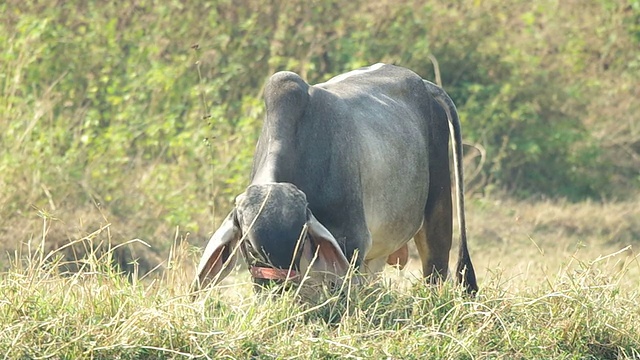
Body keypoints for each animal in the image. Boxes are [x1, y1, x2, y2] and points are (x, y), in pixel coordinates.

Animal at [192, 64, 478, 296]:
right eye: (249, 246)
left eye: (300, 241)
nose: (280, 291)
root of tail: (425, 84)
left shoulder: (352, 242)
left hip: (437, 217)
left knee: (435, 272)